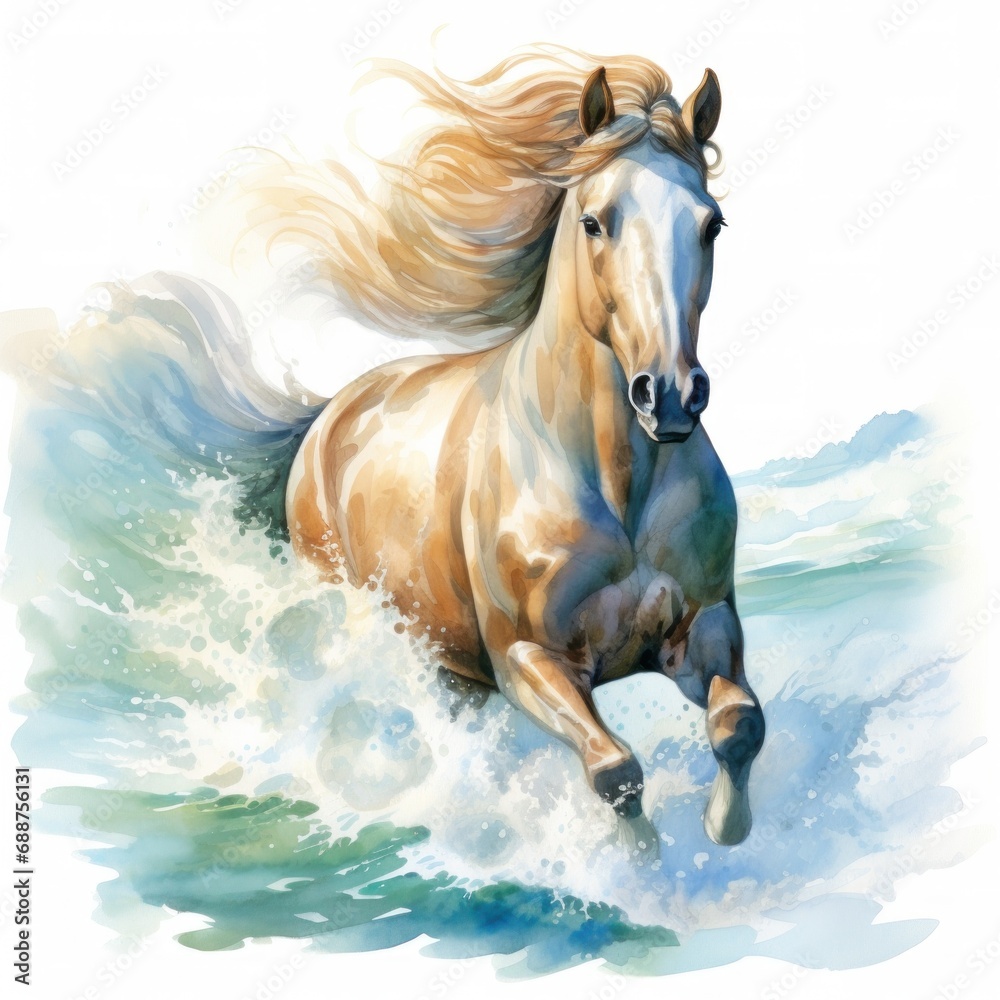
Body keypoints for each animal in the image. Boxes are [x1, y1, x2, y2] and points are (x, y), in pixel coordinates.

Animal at [270, 50, 765, 845]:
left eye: (711, 224)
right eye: (595, 222)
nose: (670, 395)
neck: (616, 486)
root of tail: (331, 415)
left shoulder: (704, 627)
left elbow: (739, 725)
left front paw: (726, 830)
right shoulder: (529, 661)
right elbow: (615, 771)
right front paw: (651, 863)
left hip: (454, 669)